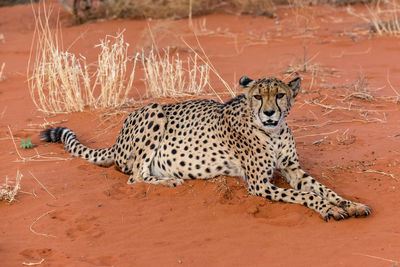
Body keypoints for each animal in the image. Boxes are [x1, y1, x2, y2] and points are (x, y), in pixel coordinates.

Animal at [39, 76, 370, 222]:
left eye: (279, 95)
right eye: (258, 97)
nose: (269, 114)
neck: (272, 132)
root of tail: (118, 136)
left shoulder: (292, 169)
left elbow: (323, 188)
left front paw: (350, 204)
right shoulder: (259, 185)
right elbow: (305, 196)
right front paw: (329, 209)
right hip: (155, 110)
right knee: (135, 177)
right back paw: (169, 180)